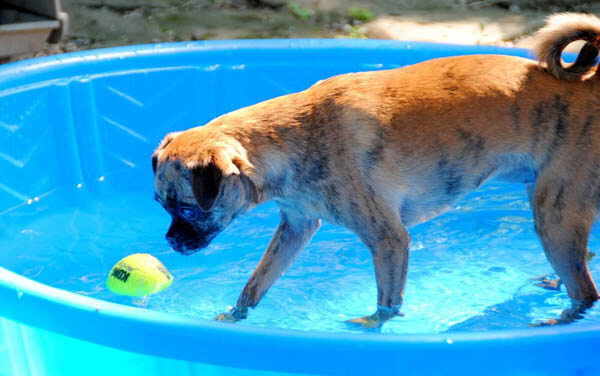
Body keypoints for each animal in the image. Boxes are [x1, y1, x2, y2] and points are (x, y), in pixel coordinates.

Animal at [154, 13, 600, 328]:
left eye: (188, 209)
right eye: (162, 206)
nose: (171, 241)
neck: (295, 136)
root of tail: (590, 84)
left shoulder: (389, 242)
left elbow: (388, 303)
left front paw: (373, 326)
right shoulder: (295, 229)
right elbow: (256, 283)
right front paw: (235, 316)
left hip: (554, 217)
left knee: (586, 291)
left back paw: (563, 317)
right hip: (549, 204)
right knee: (582, 266)